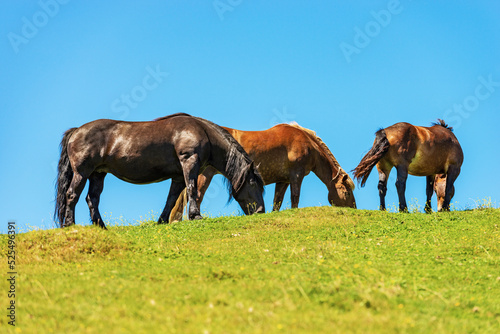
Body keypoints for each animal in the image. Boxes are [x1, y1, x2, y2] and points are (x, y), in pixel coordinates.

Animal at [54, 113, 266, 228]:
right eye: (253, 183)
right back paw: (70, 224)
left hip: (98, 174)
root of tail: (77, 130)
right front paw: (195, 215)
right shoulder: (189, 162)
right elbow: (192, 190)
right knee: (72, 195)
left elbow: (171, 198)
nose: (261, 211)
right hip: (82, 173)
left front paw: (162, 221)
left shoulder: (178, 176)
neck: (202, 132)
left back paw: (102, 226)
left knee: (92, 199)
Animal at [171, 122, 356, 222]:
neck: (307, 143)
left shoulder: (283, 180)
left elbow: (277, 202)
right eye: (346, 193)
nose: (354, 209)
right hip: (205, 175)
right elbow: (295, 198)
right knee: (196, 196)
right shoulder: (296, 176)